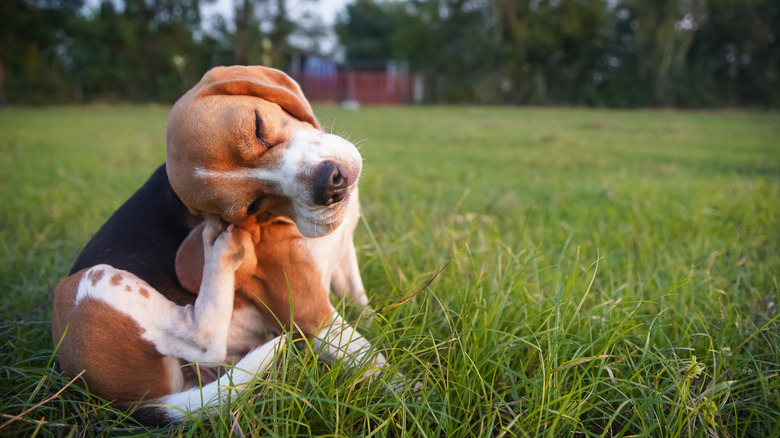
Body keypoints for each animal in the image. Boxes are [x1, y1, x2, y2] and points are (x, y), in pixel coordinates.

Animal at [50, 66, 390, 424]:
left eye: (258, 126)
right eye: (254, 206)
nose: (330, 185)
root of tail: (132, 403)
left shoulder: (344, 257)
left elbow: (361, 305)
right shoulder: (311, 313)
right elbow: (377, 364)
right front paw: (408, 393)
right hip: (90, 283)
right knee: (201, 341)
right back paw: (221, 251)